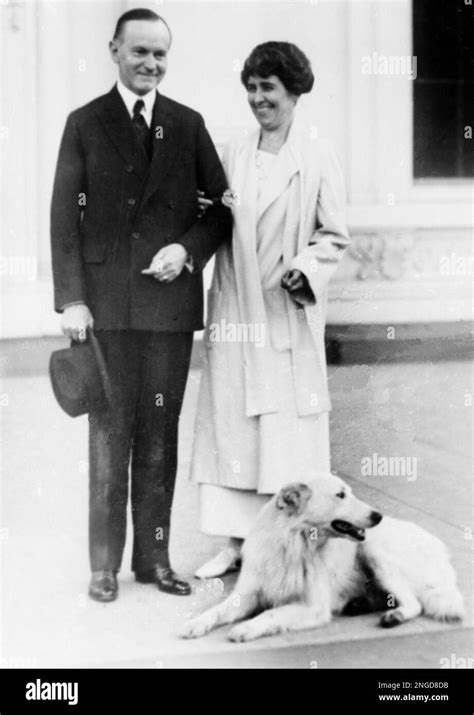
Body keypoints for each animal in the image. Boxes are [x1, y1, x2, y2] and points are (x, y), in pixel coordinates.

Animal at [179, 476, 462, 644]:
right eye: (340, 495)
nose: (378, 516)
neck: (294, 545)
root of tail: (440, 548)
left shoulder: (312, 606)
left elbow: (271, 613)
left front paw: (246, 628)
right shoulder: (247, 594)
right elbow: (216, 611)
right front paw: (195, 624)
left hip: (373, 550)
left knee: (415, 603)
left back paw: (394, 615)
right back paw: (359, 604)